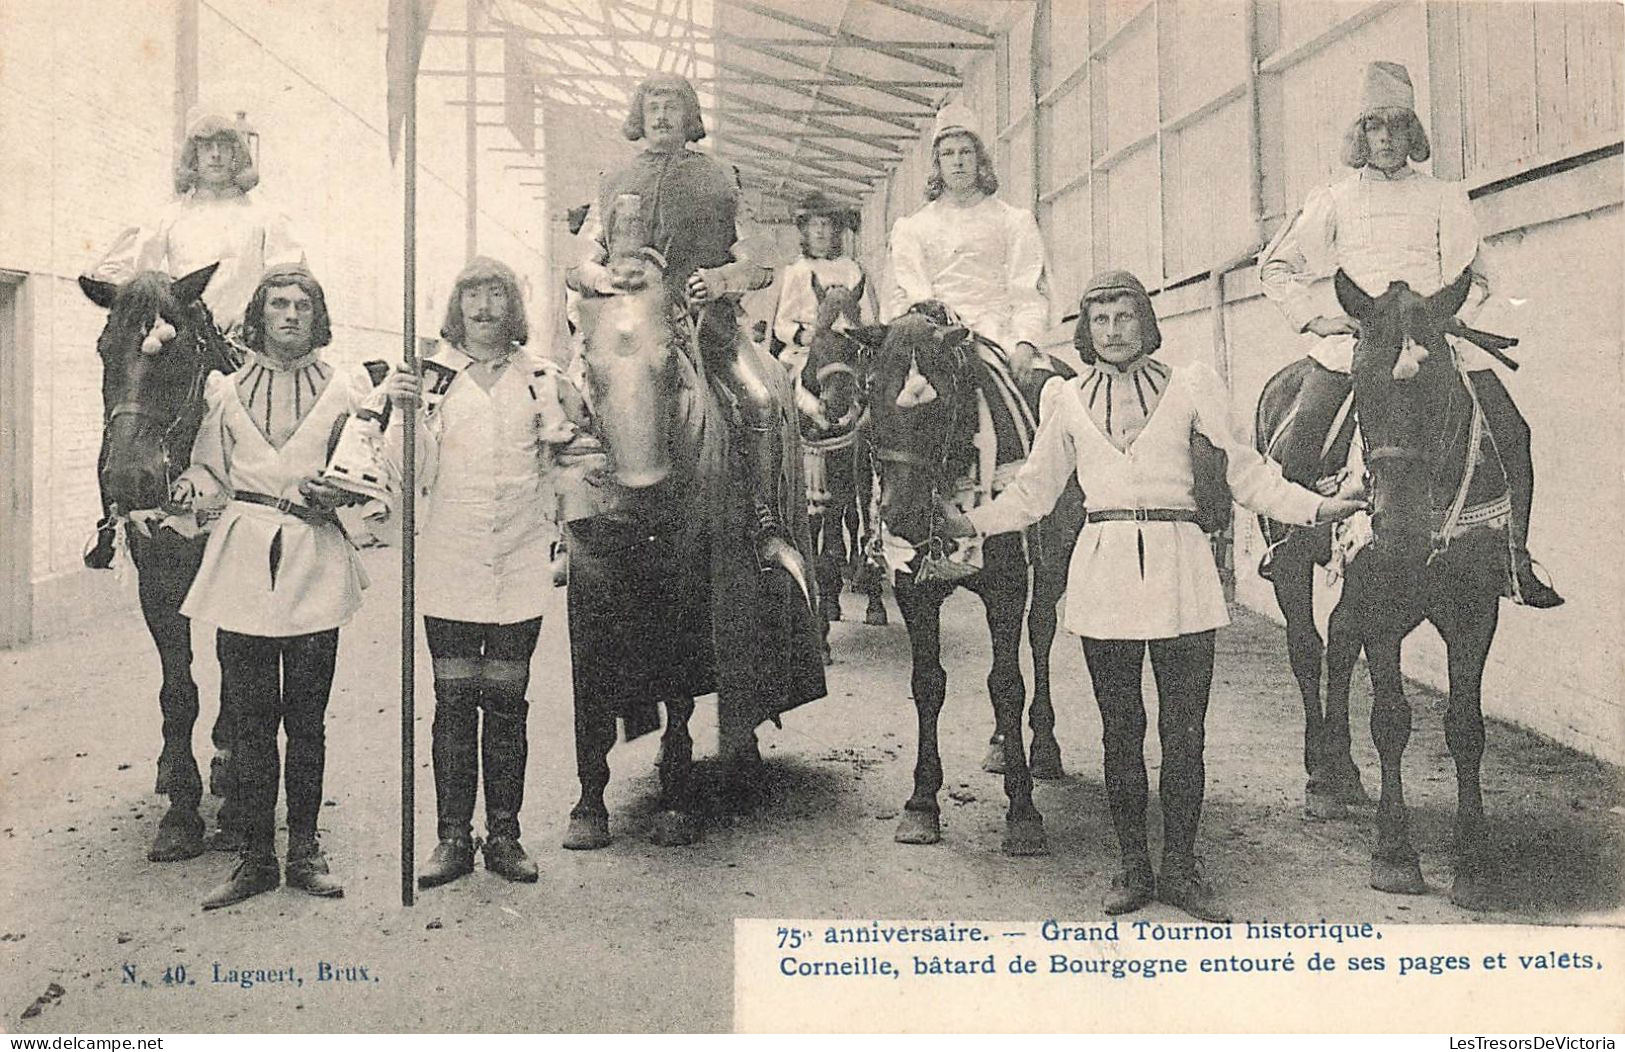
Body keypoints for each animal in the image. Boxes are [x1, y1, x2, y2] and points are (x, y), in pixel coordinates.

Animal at [78, 263, 240, 865]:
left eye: (179, 352)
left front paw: (234, 786)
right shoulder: (159, 585)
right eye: (104, 349)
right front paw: (182, 812)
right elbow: (178, 691)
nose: (128, 477)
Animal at [562, 232, 825, 858]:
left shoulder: (693, 593)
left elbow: (681, 691)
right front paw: (587, 813)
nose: (638, 489)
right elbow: (592, 699)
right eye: (588, 366)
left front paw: (678, 805)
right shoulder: (589, 590)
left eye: (673, 355)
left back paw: (741, 763)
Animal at [858, 308, 1085, 852]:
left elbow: (1006, 684)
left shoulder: (1007, 587)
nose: (901, 516)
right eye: (869, 387)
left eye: (943, 398)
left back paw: (1042, 746)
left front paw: (1022, 811)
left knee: (1039, 636)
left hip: (1054, 563)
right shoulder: (913, 590)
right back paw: (1002, 743)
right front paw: (921, 803)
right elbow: (928, 684)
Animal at [1254, 269, 1508, 904]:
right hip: (1293, 567)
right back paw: (1321, 775)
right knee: (1308, 649)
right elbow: (1391, 720)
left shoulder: (1476, 610)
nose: (1393, 521)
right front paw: (1394, 853)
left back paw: (1342, 772)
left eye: (1440, 383)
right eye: (1360, 384)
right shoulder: (1382, 603)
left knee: (1340, 639)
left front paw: (1474, 860)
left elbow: (1465, 727)